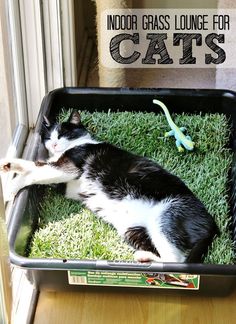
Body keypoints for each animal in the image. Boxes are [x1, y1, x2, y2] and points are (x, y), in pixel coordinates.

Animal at [0, 111, 219, 264]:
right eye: (48, 137)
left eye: (63, 134)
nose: (53, 144)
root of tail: (212, 224)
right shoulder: (62, 181)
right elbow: (36, 166)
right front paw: (9, 166)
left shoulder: (69, 167)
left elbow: (35, 171)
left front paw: (10, 187)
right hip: (133, 230)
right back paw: (144, 256)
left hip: (166, 217)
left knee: (177, 262)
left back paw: (145, 259)